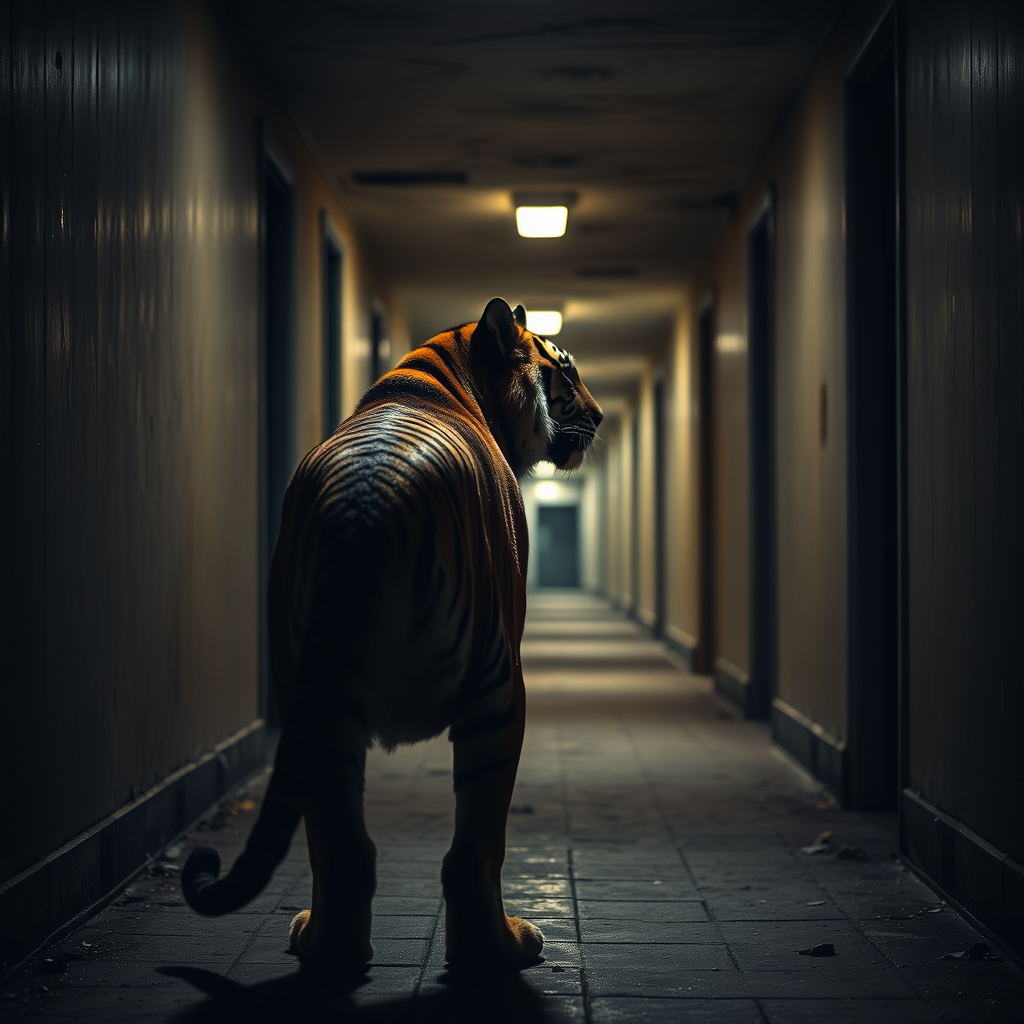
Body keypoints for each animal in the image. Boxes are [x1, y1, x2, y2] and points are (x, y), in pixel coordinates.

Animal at [182, 296, 598, 966]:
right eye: (566, 371)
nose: (601, 415)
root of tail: (362, 504)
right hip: (497, 691)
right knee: (473, 847)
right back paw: (502, 947)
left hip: (308, 697)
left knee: (342, 844)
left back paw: (324, 945)